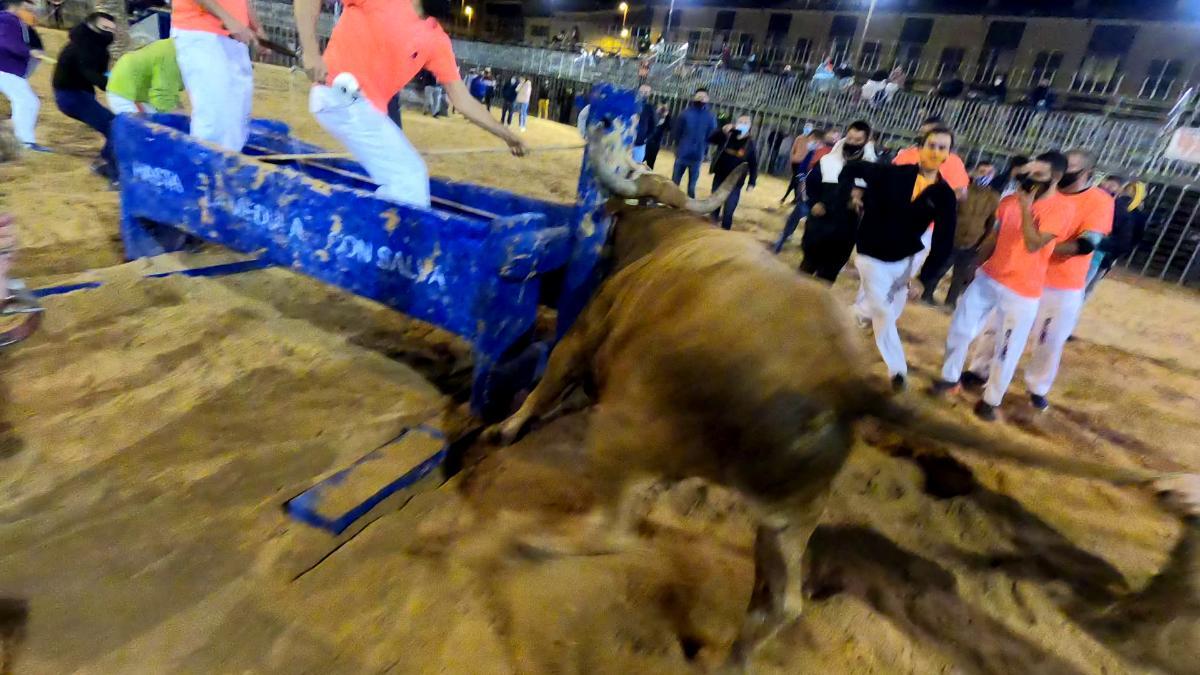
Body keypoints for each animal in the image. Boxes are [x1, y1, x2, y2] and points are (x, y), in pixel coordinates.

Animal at [482, 132, 1166, 662]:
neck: (667, 232)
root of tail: (837, 377)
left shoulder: (585, 331)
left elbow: (547, 381)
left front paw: (503, 430)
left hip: (627, 433)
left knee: (614, 528)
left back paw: (531, 540)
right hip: (788, 517)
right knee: (780, 604)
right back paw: (731, 659)